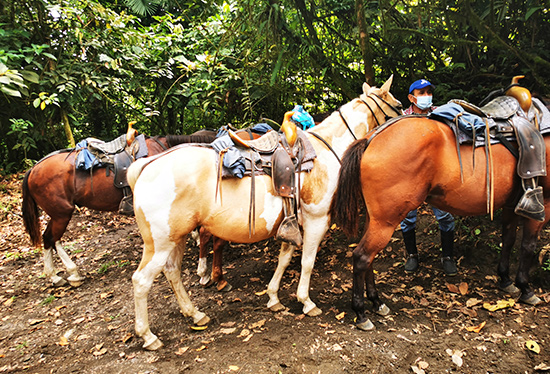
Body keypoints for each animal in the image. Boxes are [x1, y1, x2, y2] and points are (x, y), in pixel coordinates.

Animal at [22, 129, 220, 286]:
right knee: (50, 238)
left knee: (52, 239)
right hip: (61, 213)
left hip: (59, 214)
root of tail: (33, 169)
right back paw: (62, 275)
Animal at [127, 76, 404, 350]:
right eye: (399, 106)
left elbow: (285, 258)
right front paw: (306, 302)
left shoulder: (293, 222)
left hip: (177, 238)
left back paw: (195, 314)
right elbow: (307, 261)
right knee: (141, 281)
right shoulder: (316, 220)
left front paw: (273, 298)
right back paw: (148, 336)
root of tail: (144, 166)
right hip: (160, 244)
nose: (404, 120)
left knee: (172, 271)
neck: (322, 152)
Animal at [332, 114, 550, 330]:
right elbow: (528, 246)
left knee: (368, 258)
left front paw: (505, 279)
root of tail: (371, 139)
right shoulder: (543, 205)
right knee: (361, 257)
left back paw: (377, 302)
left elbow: (509, 240)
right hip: (386, 222)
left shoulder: (511, 205)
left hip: (375, 219)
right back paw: (361, 313)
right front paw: (525, 288)